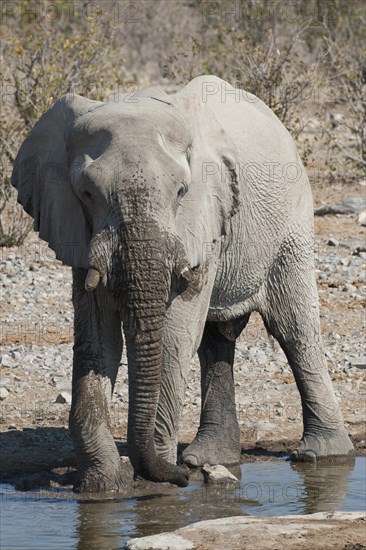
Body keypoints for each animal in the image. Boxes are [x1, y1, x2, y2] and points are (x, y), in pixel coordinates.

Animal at [12, 75, 354, 494]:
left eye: (180, 192)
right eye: (87, 194)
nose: (179, 478)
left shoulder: (203, 216)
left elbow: (174, 335)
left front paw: (154, 489)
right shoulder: (77, 230)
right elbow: (97, 339)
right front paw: (101, 488)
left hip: (292, 221)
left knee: (294, 328)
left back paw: (322, 455)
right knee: (216, 339)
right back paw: (205, 460)